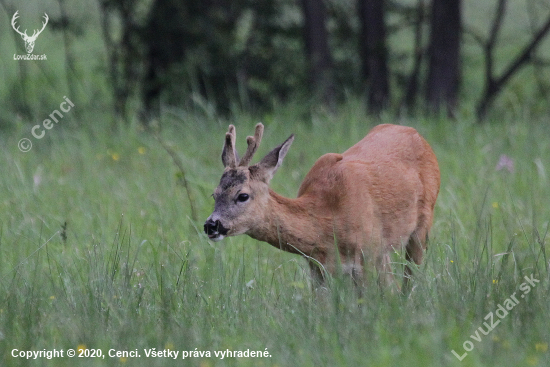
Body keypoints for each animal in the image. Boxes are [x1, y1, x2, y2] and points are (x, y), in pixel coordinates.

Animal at [205, 124, 442, 290]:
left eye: (242, 195)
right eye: (214, 194)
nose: (211, 225)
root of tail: (419, 135)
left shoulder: (366, 255)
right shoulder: (318, 268)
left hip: (421, 226)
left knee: (409, 279)